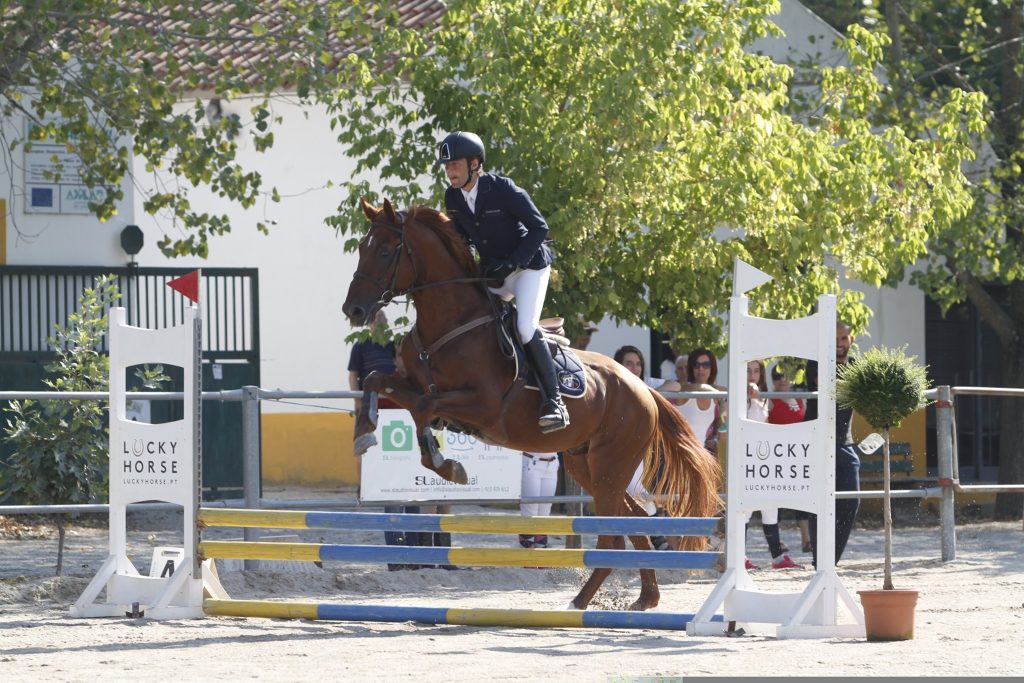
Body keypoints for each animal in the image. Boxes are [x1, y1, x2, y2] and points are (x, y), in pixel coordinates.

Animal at [344, 197, 720, 610]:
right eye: (361, 248)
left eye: (385, 250)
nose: (353, 311)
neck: (447, 325)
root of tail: (643, 388)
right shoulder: (410, 384)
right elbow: (380, 382)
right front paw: (364, 432)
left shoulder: (484, 407)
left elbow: (424, 407)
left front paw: (448, 466)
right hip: (587, 464)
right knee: (631, 520)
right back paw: (644, 599)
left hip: (610, 465)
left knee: (613, 536)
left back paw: (580, 602)